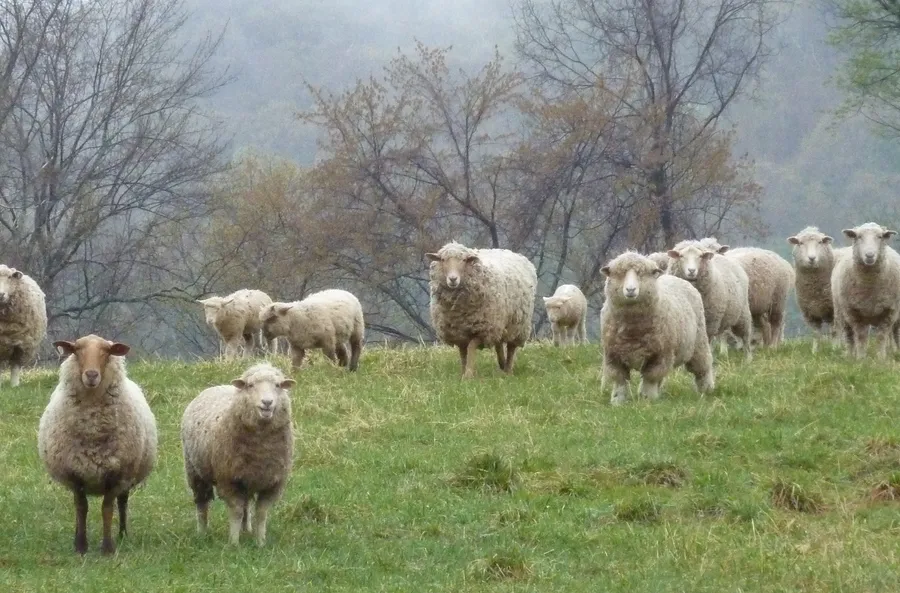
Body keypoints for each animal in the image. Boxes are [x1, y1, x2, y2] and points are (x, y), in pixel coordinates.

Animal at [37, 335, 157, 555]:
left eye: (107, 351)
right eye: (76, 350)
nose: (91, 374)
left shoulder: (116, 474)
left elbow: (107, 508)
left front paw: (108, 548)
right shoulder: (74, 473)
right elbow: (81, 507)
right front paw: (80, 546)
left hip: (127, 476)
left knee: (123, 502)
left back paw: (123, 535)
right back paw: (77, 533)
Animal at [181, 362, 295, 546]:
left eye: (278, 385)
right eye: (250, 385)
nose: (267, 402)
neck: (261, 449)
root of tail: (216, 386)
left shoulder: (273, 483)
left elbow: (261, 513)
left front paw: (260, 542)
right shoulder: (229, 480)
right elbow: (236, 511)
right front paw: (234, 543)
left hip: (246, 479)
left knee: (246, 504)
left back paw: (246, 530)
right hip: (194, 470)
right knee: (202, 503)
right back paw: (202, 532)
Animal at [426, 241, 537, 378]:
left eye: (464, 260)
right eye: (442, 260)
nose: (453, 279)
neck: (459, 311)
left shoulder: (481, 329)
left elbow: (471, 348)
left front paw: (468, 374)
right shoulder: (458, 332)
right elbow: (463, 353)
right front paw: (463, 372)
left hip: (517, 324)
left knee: (511, 347)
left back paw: (508, 370)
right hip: (499, 323)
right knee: (498, 343)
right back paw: (501, 364)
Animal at [599, 251, 714, 405]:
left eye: (641, 274)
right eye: (620, 274)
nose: (630, 289)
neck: (632, 331)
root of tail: (675, 278)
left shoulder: (660, 355)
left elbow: (651, 377)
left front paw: (648, 399)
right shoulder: (613, 356)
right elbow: (620, 380)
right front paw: (618, 401)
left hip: (698, 341)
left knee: (702, 366)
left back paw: (706, 390)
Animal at [831, 222, 900, 360]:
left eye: (880, 237)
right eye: (858, 236)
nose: (869, 255)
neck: (869, 284)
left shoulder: (889, 312)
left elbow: (881, 337)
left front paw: (881, 358)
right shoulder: (854, 312)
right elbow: (860, 336)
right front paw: (861, 358)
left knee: (895, 332)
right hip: (842, 312)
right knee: (849, 336)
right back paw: (850, 355)